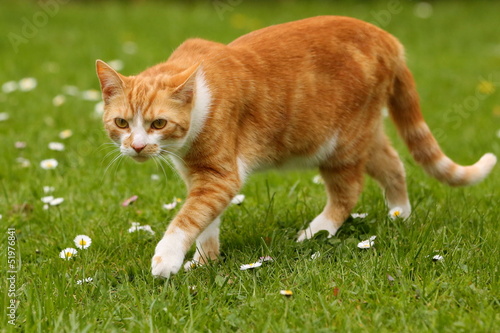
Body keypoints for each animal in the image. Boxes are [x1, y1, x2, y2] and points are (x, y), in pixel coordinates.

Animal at [94, 16, 496, 278]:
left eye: (158, 124)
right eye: (122, 123)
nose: (137, 147)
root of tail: (389, 40)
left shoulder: (220, 176)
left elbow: (188, 218)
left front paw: (167, 260)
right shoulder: (201, 177)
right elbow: (207, 222)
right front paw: (204, 261)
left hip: (339, 144)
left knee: (349, 191)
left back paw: (317, 231)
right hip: (365, 135)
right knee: (394, 164)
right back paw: (400, 215)